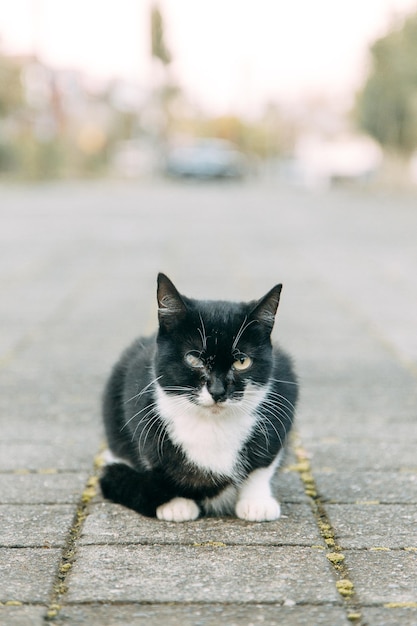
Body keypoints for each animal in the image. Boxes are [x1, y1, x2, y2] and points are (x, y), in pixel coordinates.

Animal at [99, 272, 298, 520]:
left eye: (242, 362)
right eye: (193, 359)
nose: (218, 391)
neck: (212, 425)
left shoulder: (283, 399)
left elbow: (263, 465)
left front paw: (257, 502)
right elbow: (159, 468)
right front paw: (176, 503)